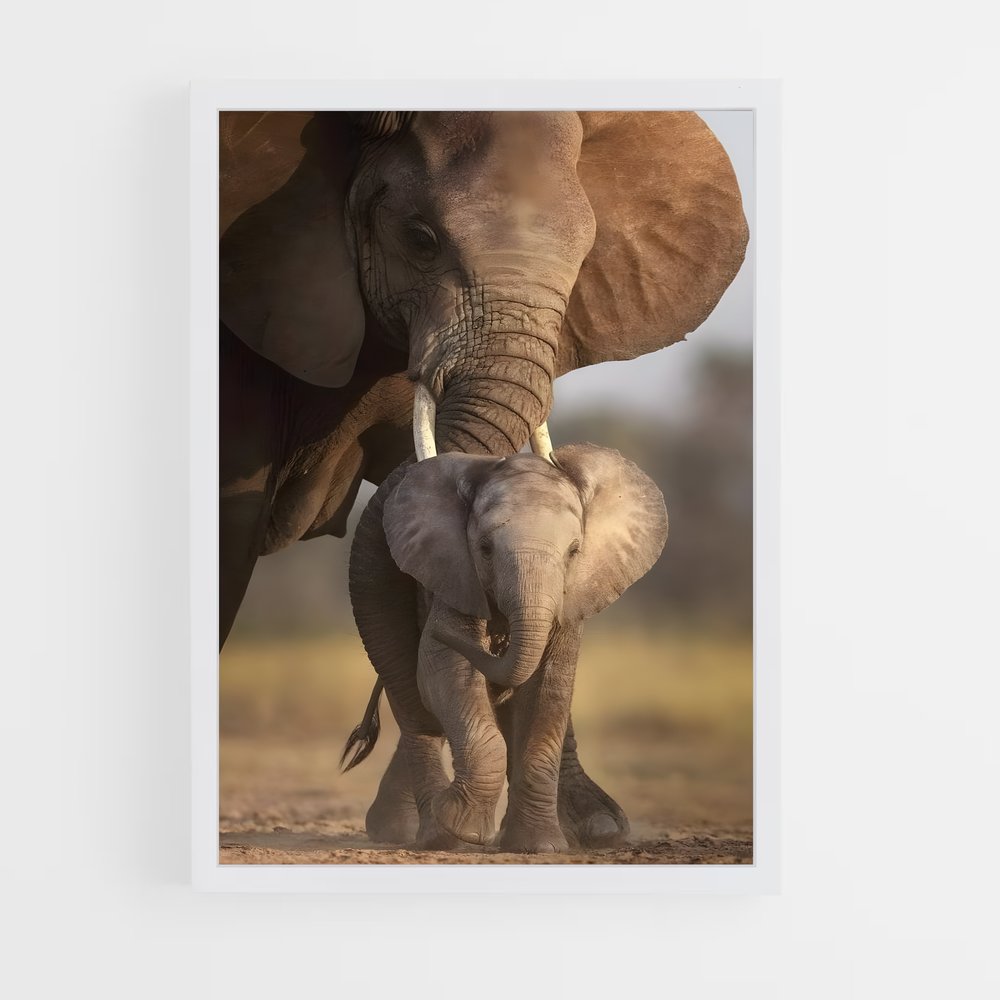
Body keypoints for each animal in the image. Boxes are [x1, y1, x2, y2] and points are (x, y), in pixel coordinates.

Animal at [343, 445, 668, 852]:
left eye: (574, 551)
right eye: (484, 549)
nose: (497, 642)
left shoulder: (569, 601)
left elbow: (549, 688)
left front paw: (540, 847)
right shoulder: (455, 575)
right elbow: (442, 671)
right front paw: (462, 827)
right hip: (380, 604)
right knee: (410, 699)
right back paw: (433, 833)